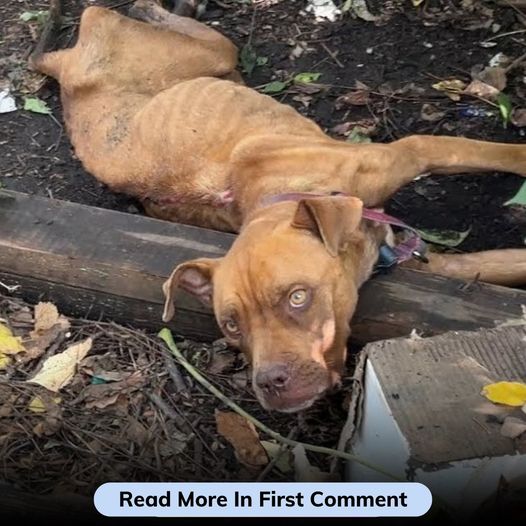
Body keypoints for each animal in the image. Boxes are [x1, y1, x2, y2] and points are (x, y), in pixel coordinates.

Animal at [33, 0, 526, 412]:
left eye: (297, 297)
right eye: (231, 325)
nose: (270, 381)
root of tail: (65, 66)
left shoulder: (418, 173)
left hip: (209, 55)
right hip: (207, 54)